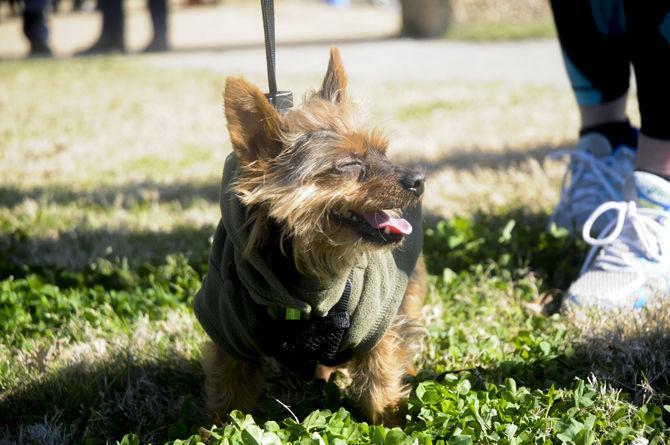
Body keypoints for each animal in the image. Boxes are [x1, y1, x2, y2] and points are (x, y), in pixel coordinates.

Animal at [194, 47, 428, 424]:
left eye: (383, 152)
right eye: (348, 164)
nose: (419, 180)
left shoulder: (377, 324)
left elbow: (381, 382)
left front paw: (391, 424)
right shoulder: (228, 333)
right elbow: (228, 398)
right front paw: (215, 431)